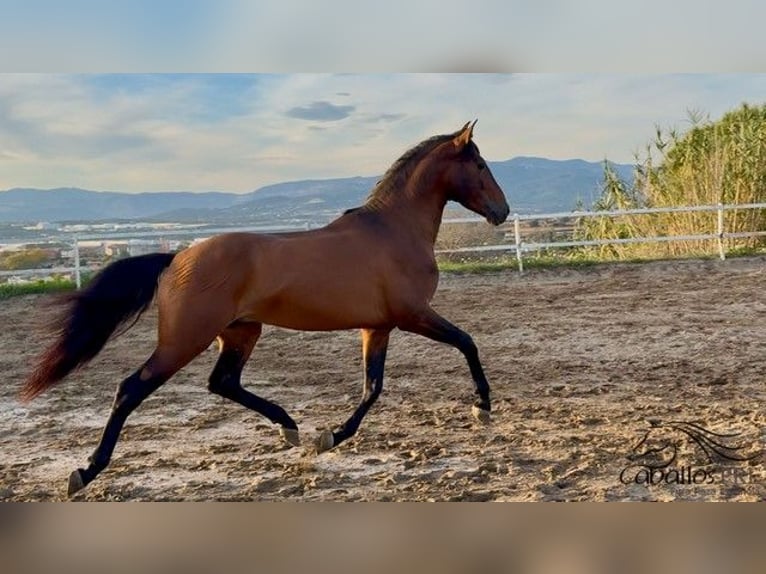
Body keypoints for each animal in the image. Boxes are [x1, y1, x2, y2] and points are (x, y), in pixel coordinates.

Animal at [20, 120, 510, 497]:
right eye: (481, 166)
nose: (502, 211)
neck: (393, 231)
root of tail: (177, 257)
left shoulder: (378, 328)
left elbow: (372, 388)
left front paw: (329, 437)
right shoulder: (413, 316)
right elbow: (467, 343)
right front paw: (482, 408)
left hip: (241, 331)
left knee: (223, 381)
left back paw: (289, 426)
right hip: (184, 340)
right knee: (130, 389)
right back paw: (84, 473)